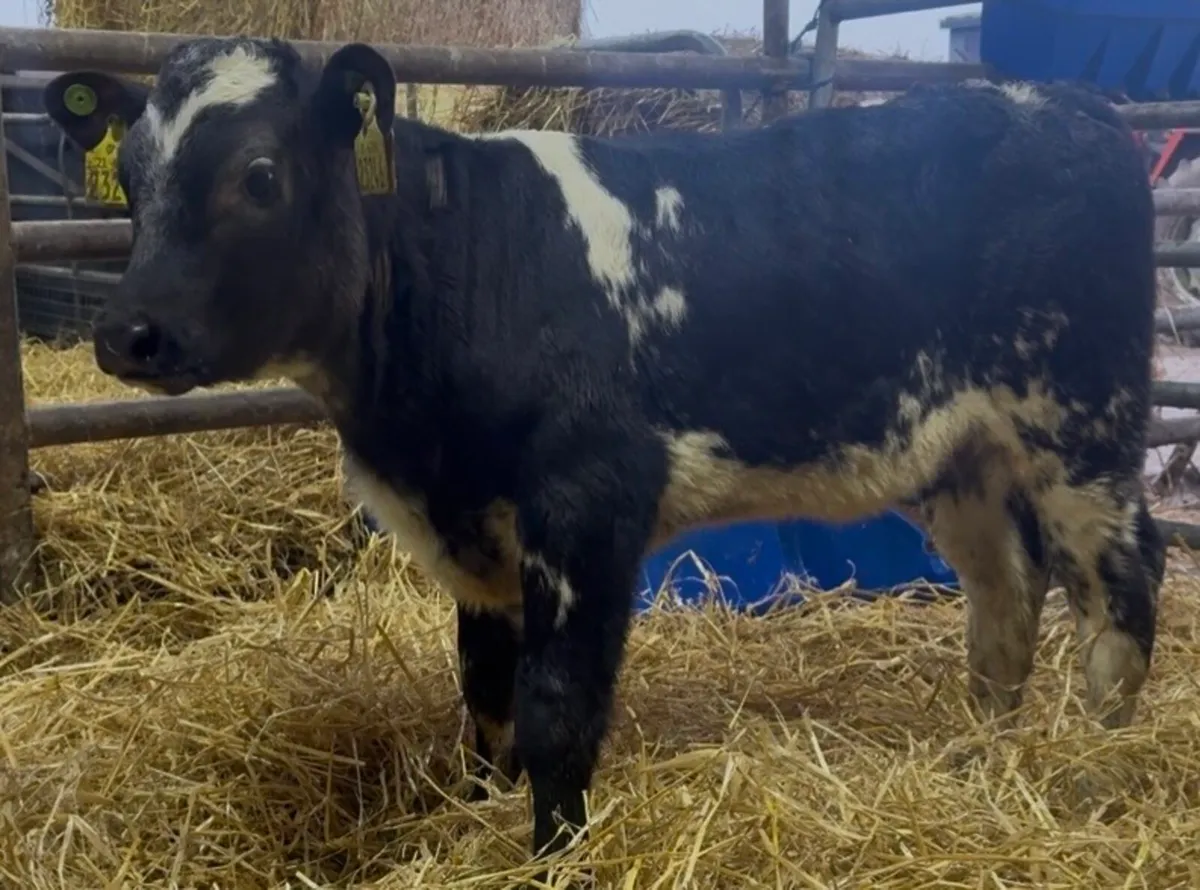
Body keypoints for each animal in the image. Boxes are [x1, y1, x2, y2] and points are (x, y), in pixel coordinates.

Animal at [43, 37, 1163, 870]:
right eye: (131, 179)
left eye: (261, 176)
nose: (129, 334)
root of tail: (1072, 105)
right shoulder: (479, 530)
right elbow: (485, 696)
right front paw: (482, 822)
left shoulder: (586, 507)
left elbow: (554, 708)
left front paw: (554, 853)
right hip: (960, 453)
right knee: (1005, 598)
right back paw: (986, 759)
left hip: (1084, 429)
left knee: (1122, 586)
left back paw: (1095, 770)